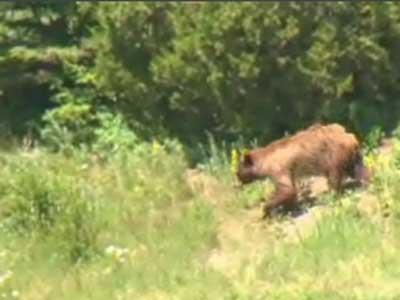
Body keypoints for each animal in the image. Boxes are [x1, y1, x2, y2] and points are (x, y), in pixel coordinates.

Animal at [236, 123, 370, 219]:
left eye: (238, 170)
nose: (237, 180)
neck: (264, 161)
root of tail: (350, 137)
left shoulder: (278, 168)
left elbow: (286, 189)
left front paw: (266, 208)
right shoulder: (288, 171)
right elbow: (290, 190)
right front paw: (290, 206)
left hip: (334, 155)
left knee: (334, 176)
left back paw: (331, 194)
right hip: (351, 157)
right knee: (359, 170)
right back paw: (368, 181)